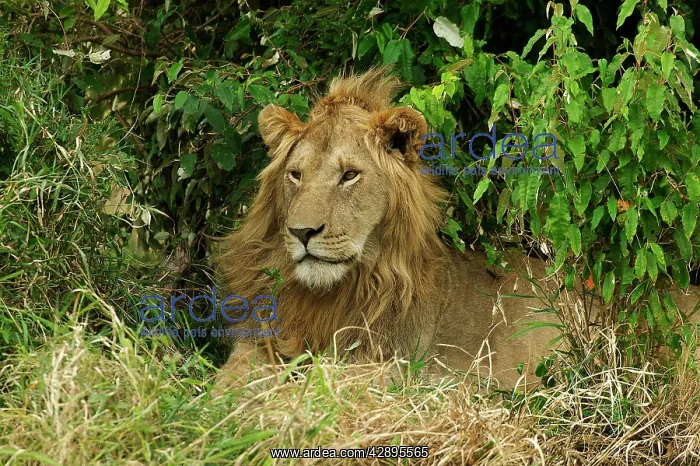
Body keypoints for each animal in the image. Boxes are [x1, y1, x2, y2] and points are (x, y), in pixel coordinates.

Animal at [215, 68, 700, 389]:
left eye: (349, 175)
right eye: (295, 175)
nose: (302, 232)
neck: (329, 296)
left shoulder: (395, 368)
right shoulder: (259, 342)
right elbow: (232, 382)